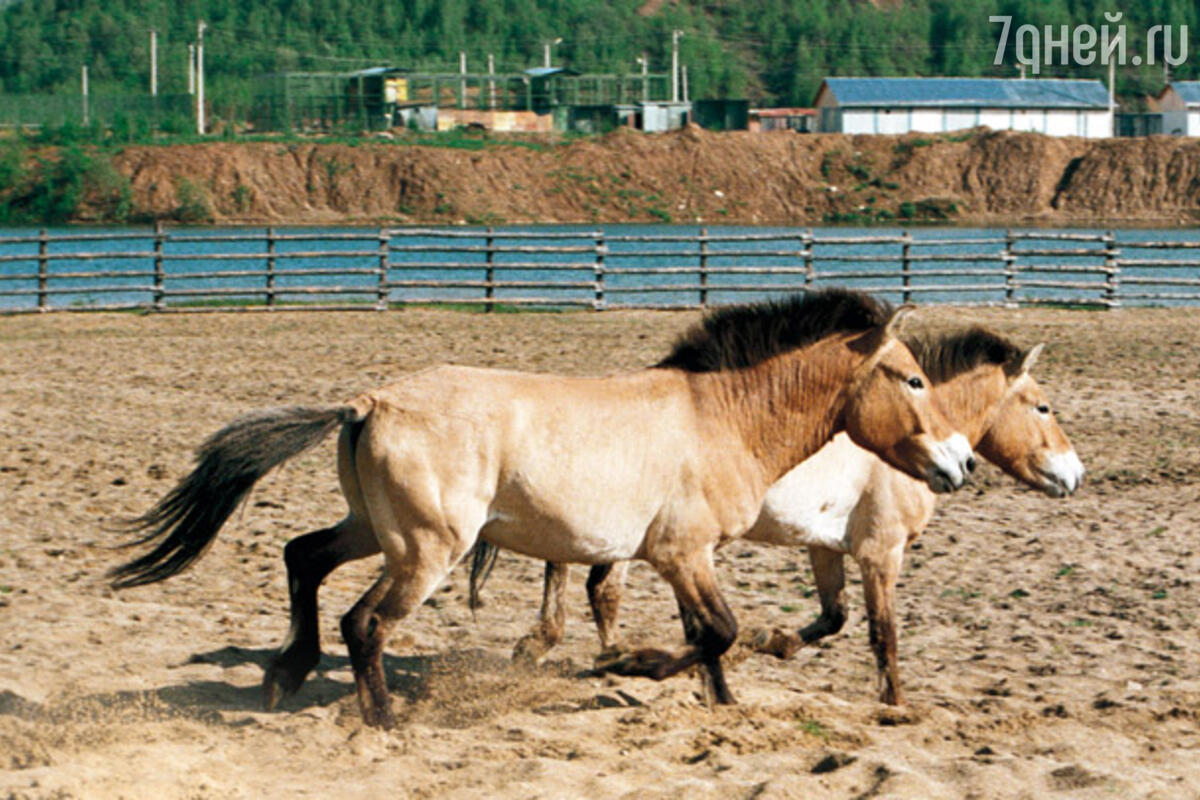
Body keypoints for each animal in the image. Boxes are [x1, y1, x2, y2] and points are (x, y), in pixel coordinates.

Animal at [110, 291, 974, 729]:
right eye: (913, 379)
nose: (960, 463)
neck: (719, 416)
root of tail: (367, 404)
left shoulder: (686, 559)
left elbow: (710, 635)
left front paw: (718, 704)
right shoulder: (681, 552)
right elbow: (717, 631)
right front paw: (629, 666)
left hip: (373, 531)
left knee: (303, 557)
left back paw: (285, 675)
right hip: (427, 549)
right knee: (366, 621)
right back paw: (383, 717)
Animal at [470, 326, 1089, 705]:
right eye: (1043, 407)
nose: (1074, 475)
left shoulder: (824, 547)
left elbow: (831, 619)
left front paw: (766, 642)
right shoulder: (880, 551)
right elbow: (884, 634)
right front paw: (895, 706)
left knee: (585, 579)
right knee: (596, 585)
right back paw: (580, 650)